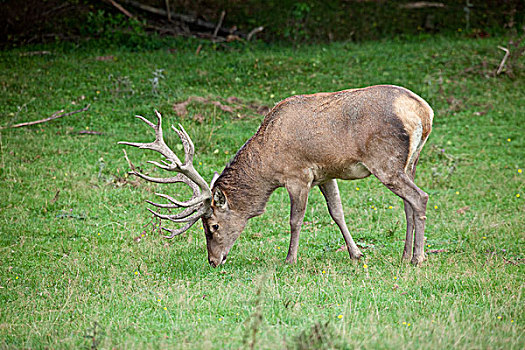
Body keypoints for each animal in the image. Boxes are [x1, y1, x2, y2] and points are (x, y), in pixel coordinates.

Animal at [121, 85, 432, 266]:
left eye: (213, 226)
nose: (212, 261)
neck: (268, 163)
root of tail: (424, 112)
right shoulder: (326, 173)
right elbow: (337, 213)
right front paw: (356, 254)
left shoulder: (297, 175)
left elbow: (295, 220)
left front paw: (290, 259)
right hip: (409, 162)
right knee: (408, 204)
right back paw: (405, 255)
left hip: (385, 161)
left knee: (420, 197)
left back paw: (417, 258)